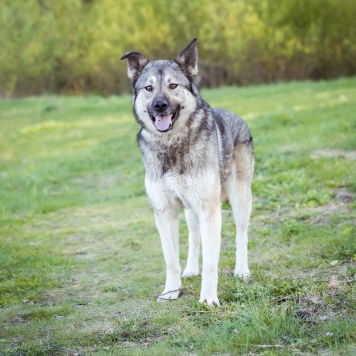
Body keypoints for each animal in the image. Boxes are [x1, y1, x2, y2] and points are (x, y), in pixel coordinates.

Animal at [121, 39, 254, 306]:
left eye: (173, 86)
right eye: (149, 88)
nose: (160, 105)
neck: (172, 146)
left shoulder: (210, 210)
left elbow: (212, 263)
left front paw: (209, 299)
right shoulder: (164, 212)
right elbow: (171, 260)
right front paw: (171, 292)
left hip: (240, 200)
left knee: (241, 235)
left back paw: (242, 270)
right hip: (192, 210)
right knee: (194, 238)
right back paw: (192, 269)